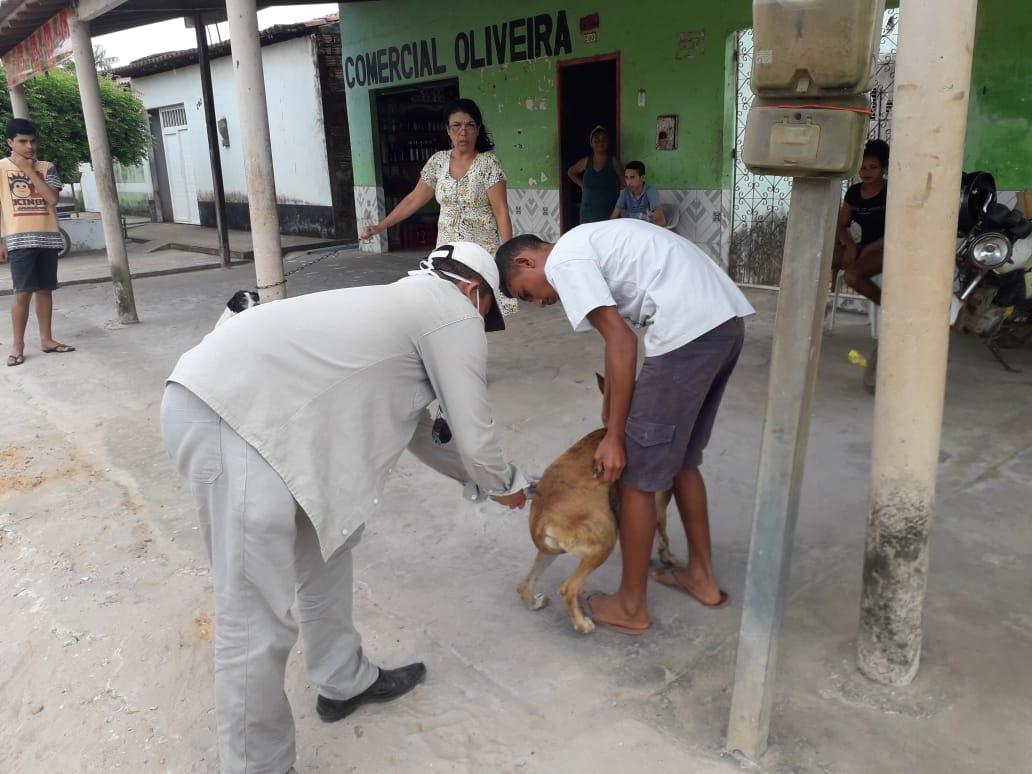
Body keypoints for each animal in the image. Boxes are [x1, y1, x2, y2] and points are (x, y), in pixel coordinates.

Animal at [516, 377, 676, 635]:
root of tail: (542, 520)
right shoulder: (661, 500)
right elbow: (663, 533)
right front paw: (668, 557)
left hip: (551, 551)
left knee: (525, 585)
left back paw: (534, 602)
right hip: (604, 539)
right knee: (568, 588)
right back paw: (582, 624)